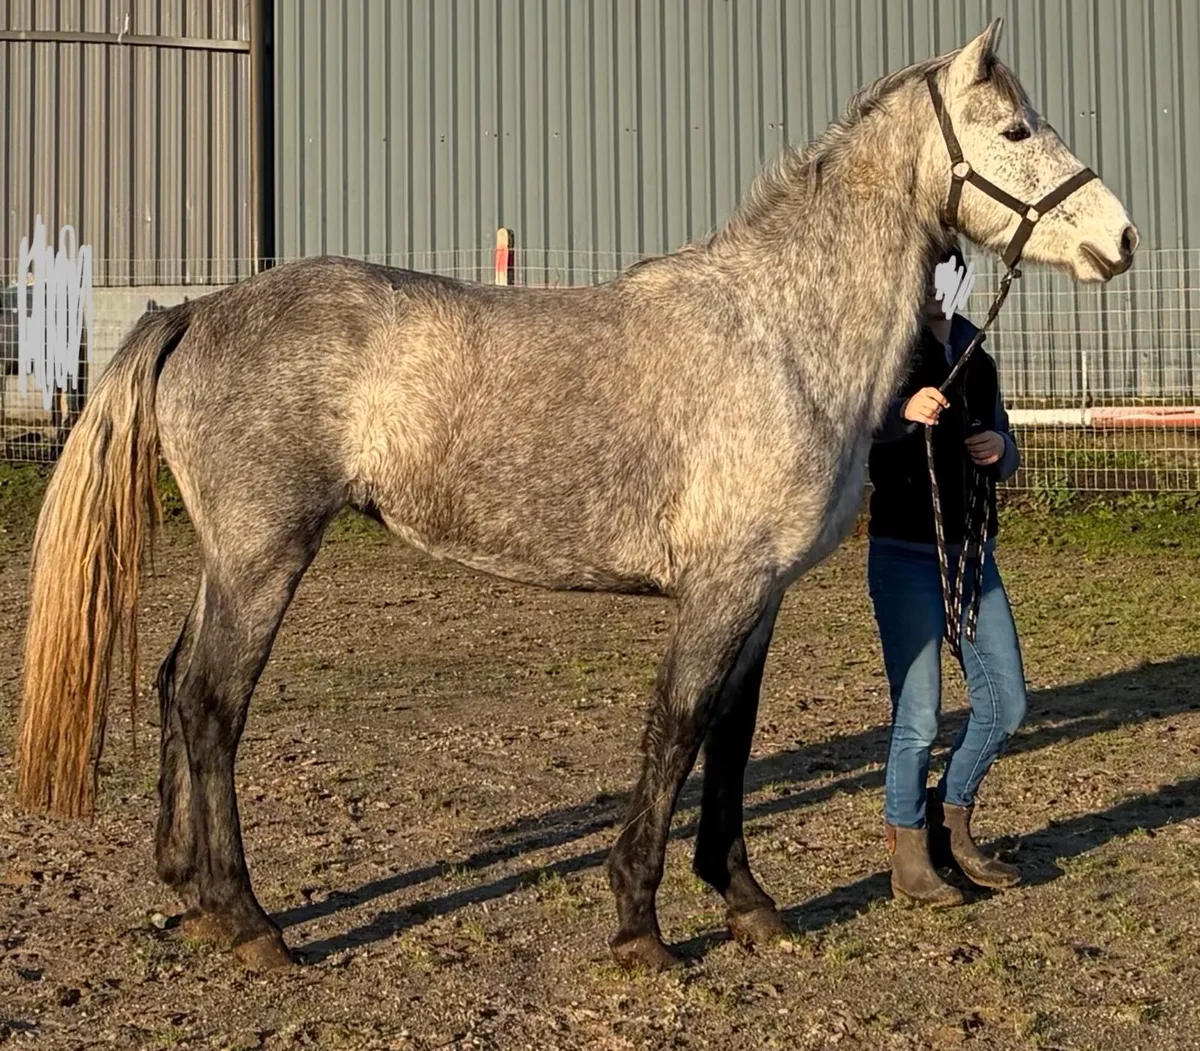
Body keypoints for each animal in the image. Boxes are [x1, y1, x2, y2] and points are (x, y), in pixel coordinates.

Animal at [13, 19, 1136, 974]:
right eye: (1015, 128)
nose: (1119, 237)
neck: (779, 331)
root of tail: (195, 311)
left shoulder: (760, 594)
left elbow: (731, 736)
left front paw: (747, 902)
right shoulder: (721, 591)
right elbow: (675, 729)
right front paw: (641, 923)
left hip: (230, 558)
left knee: (173, 684)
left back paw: (189, 893)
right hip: (265, 554)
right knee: (211, 702)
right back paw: (250, 921)